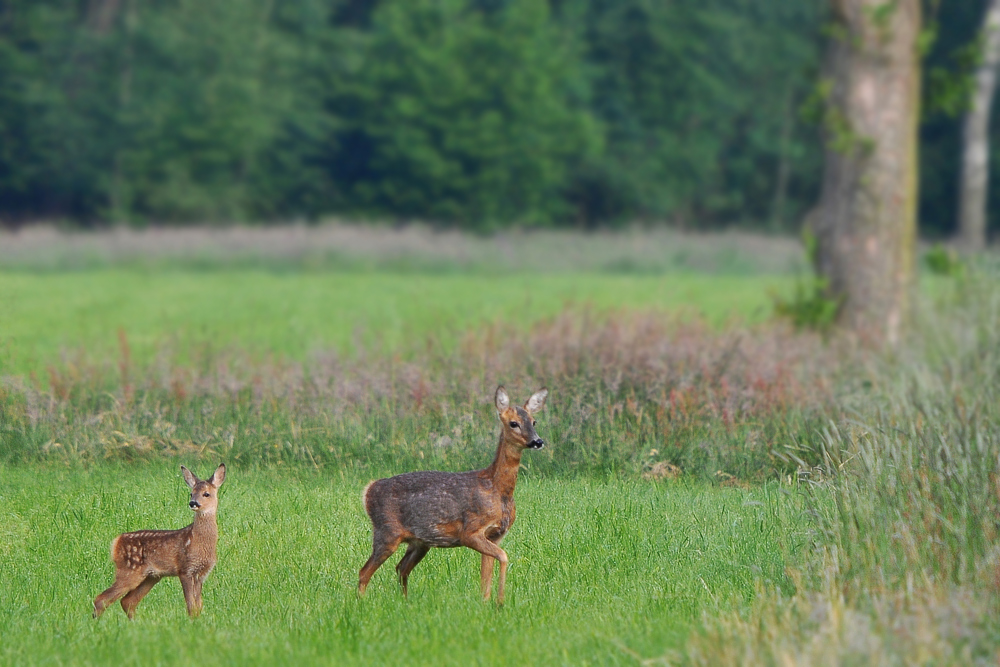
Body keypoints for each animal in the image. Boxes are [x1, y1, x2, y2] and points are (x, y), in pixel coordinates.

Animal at [94, 464, 227, 620]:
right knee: (102, 599)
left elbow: (198, 606)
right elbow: (191, 606)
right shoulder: (185, 569)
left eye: (206, 494)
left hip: (151, 576)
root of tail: (116, 541)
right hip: (128, 570)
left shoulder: (201, 573)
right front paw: (192, 622)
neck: (199, 541)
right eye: (191, 493)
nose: (193, 503)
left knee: (128, 601)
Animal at [358, 384, 548, 604]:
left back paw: (405, 602)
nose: (537, 441)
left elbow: (486, 578)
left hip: (419, 542)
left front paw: (487, 603)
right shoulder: (470, 532)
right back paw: (361, 603)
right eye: (513, 423)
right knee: (364, 572)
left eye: (534, 421)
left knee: (401, 568)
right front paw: (500, 602)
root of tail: (368, 490)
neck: (498, 490)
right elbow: (503, 557)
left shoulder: (496, 536)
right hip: (387, 532)